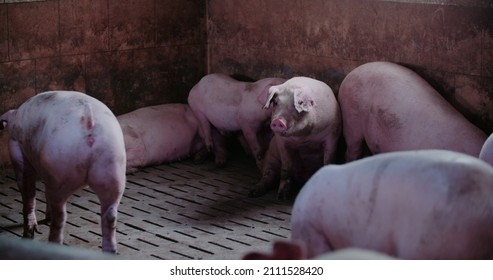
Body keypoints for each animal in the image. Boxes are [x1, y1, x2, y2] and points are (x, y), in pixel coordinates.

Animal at [0, 91, 126, 253]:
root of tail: (89, 122)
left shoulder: (19, 153)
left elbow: (28, 193)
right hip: (112, 168)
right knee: (110, 215)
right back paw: (110, 251)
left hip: (61, 169)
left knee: (60, 217)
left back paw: (48, 241)